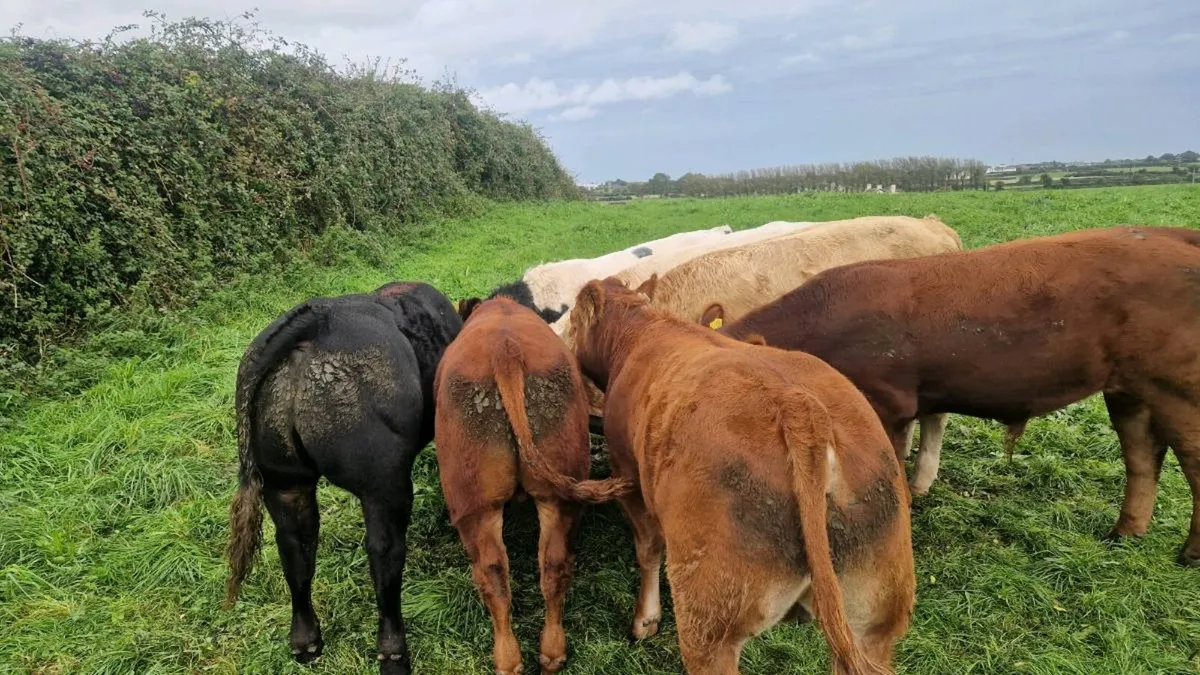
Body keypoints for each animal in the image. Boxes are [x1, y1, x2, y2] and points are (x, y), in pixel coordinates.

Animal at [223, 280, 462, 674]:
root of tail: (316, 320)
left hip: (284, 480)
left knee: (296, 546)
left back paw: (305, 641)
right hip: (384, 482)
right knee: (384, 551)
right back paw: (393, 652)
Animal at [435, 295, 632, 675]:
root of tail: (506, 352)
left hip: (473, 505)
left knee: (493, 575)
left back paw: (507, 659)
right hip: (558, 493)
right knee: (553, 566)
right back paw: (552, 652)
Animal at [564, 276, 916, 675]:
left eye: (574, 320)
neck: (642, 329)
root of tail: (799, 407)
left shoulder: (630, 478)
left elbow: (648, 549)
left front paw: (645, 620)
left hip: (710, 623)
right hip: (874, 622)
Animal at [718, 225, 1200, 566]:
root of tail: (1173, 234)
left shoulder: (889, 406)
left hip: (1179, 387)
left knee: (1188, 460)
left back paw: (1188, 554)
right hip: (1129, 389)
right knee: (1143, 456)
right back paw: (1122, 534)